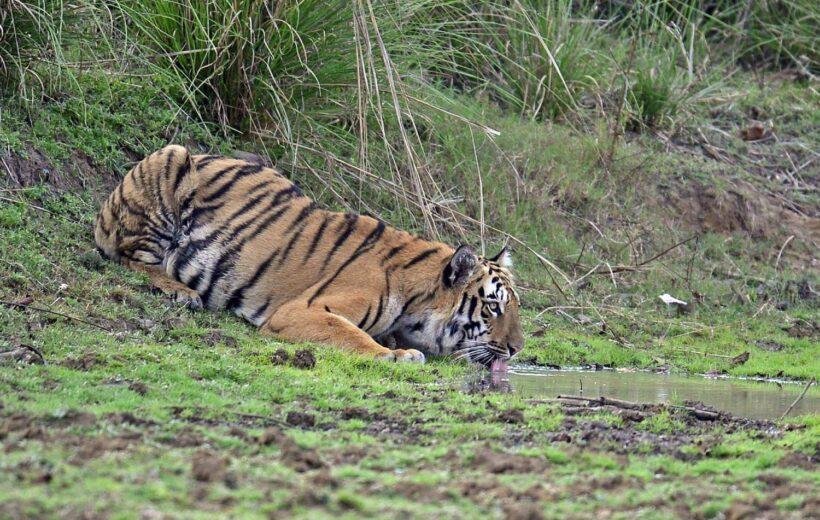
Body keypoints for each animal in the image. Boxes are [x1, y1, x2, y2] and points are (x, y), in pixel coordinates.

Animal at [93, 144, 524, 368]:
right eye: (493, 307)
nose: (518, 349)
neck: (415, 302)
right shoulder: (304, 309)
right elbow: (351, 335)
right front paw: (397, 356)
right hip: (168, 163)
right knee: (125, 254)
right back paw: (180, 291)